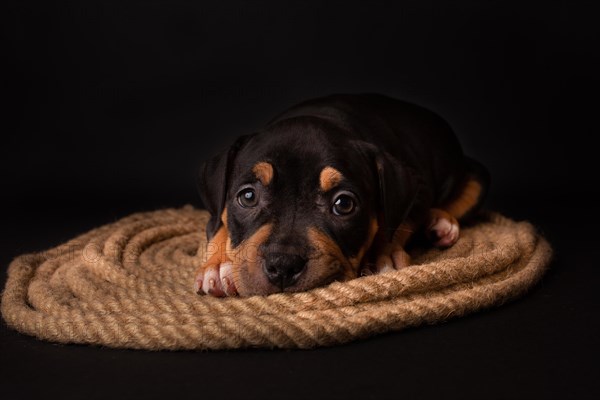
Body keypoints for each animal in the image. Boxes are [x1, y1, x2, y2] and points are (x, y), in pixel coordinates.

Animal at [195, 92, 490, 296]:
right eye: (248, 197)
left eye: (344, 204)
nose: (283, 265)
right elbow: (219, 222)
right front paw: (219, 266)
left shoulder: (418, 190)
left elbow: (395, 224)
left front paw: (380, 254)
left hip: (474, 175)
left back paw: (440, 222)